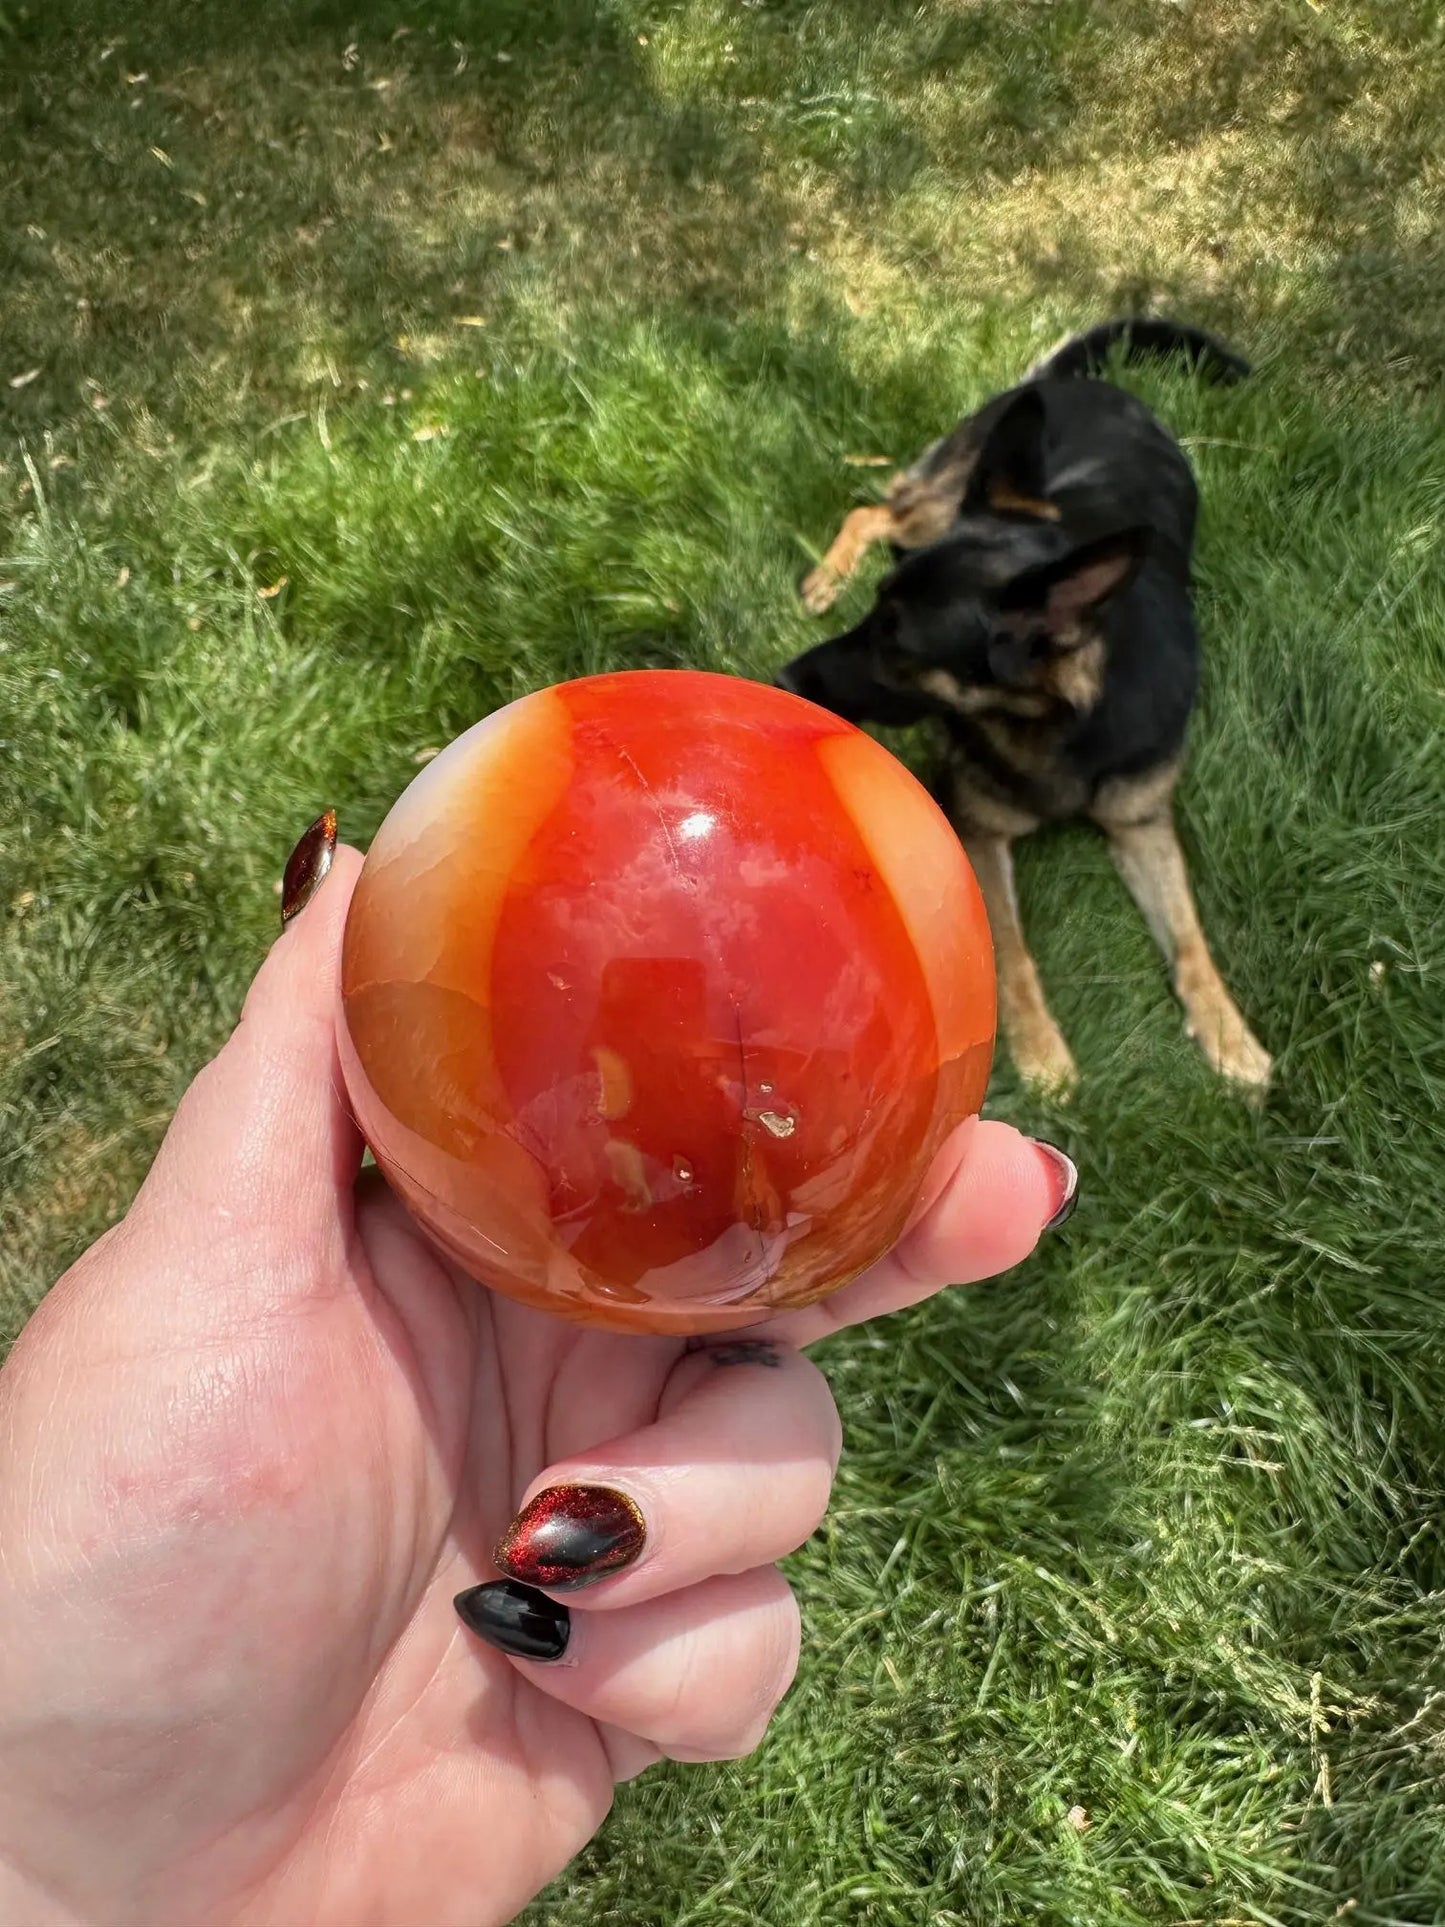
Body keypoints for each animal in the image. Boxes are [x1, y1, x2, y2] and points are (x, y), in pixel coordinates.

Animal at [782, 317, 1279, 1102]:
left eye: (897, 643)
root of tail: (1088, 383)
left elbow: (1191, 938)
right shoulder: (978, 829)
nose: (786, 674)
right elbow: (1010, 950)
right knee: (873, 510)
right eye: (877, 615)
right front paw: (1041, 1049)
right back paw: (827, 576)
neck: (1069, 726)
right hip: (936, 509)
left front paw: (1230, 1035)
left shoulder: (1142, 825)